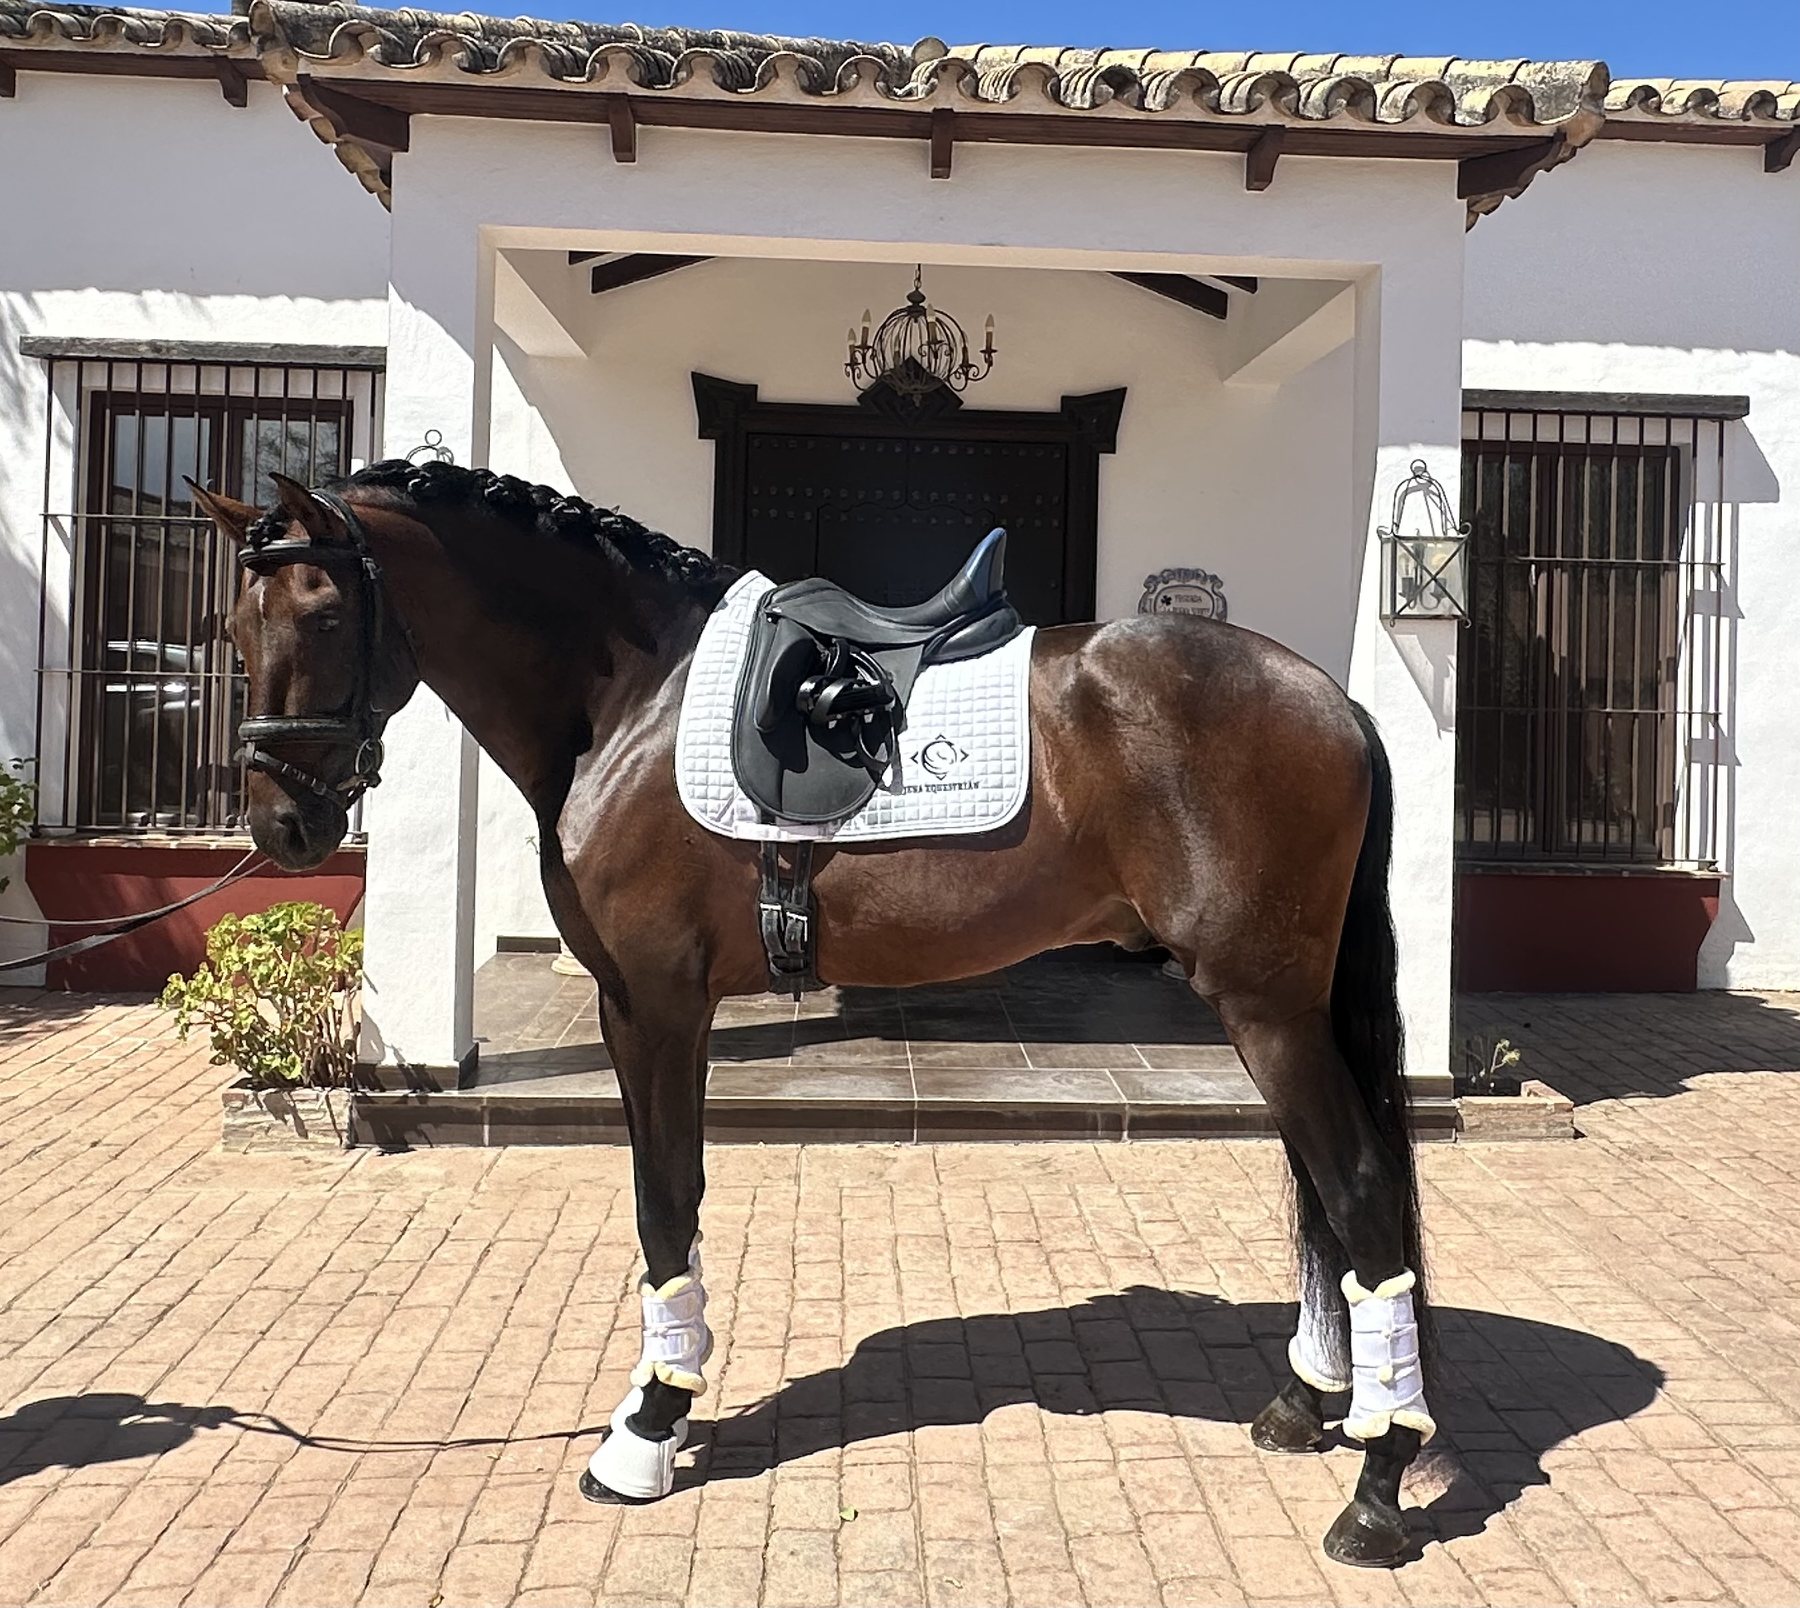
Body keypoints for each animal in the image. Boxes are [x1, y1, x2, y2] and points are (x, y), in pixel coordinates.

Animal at [192, 458, 1437, 1568]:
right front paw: (660, 1406)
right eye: (234, 627)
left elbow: (665, 1202)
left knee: (1360, 1191)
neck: (630, 699)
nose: (283, 826)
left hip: (1266, 1007)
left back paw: (1379, 1488)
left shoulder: (655, 1003)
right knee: (1324, 1198)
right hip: (1278, 1009)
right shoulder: (640, 1007)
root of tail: (1331, 697)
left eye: (321, 614)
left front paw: (646, 1430)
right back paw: (1312, 1406)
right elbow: (670, 1199)